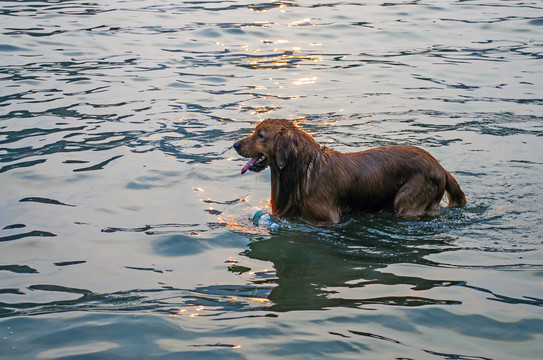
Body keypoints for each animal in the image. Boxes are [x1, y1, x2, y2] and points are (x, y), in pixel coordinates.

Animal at [234, 119, 468, 225]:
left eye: (260, 135)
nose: (235, 144)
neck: (302, 174)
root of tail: (441, 168)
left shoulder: (328, 221)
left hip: (406, 199)